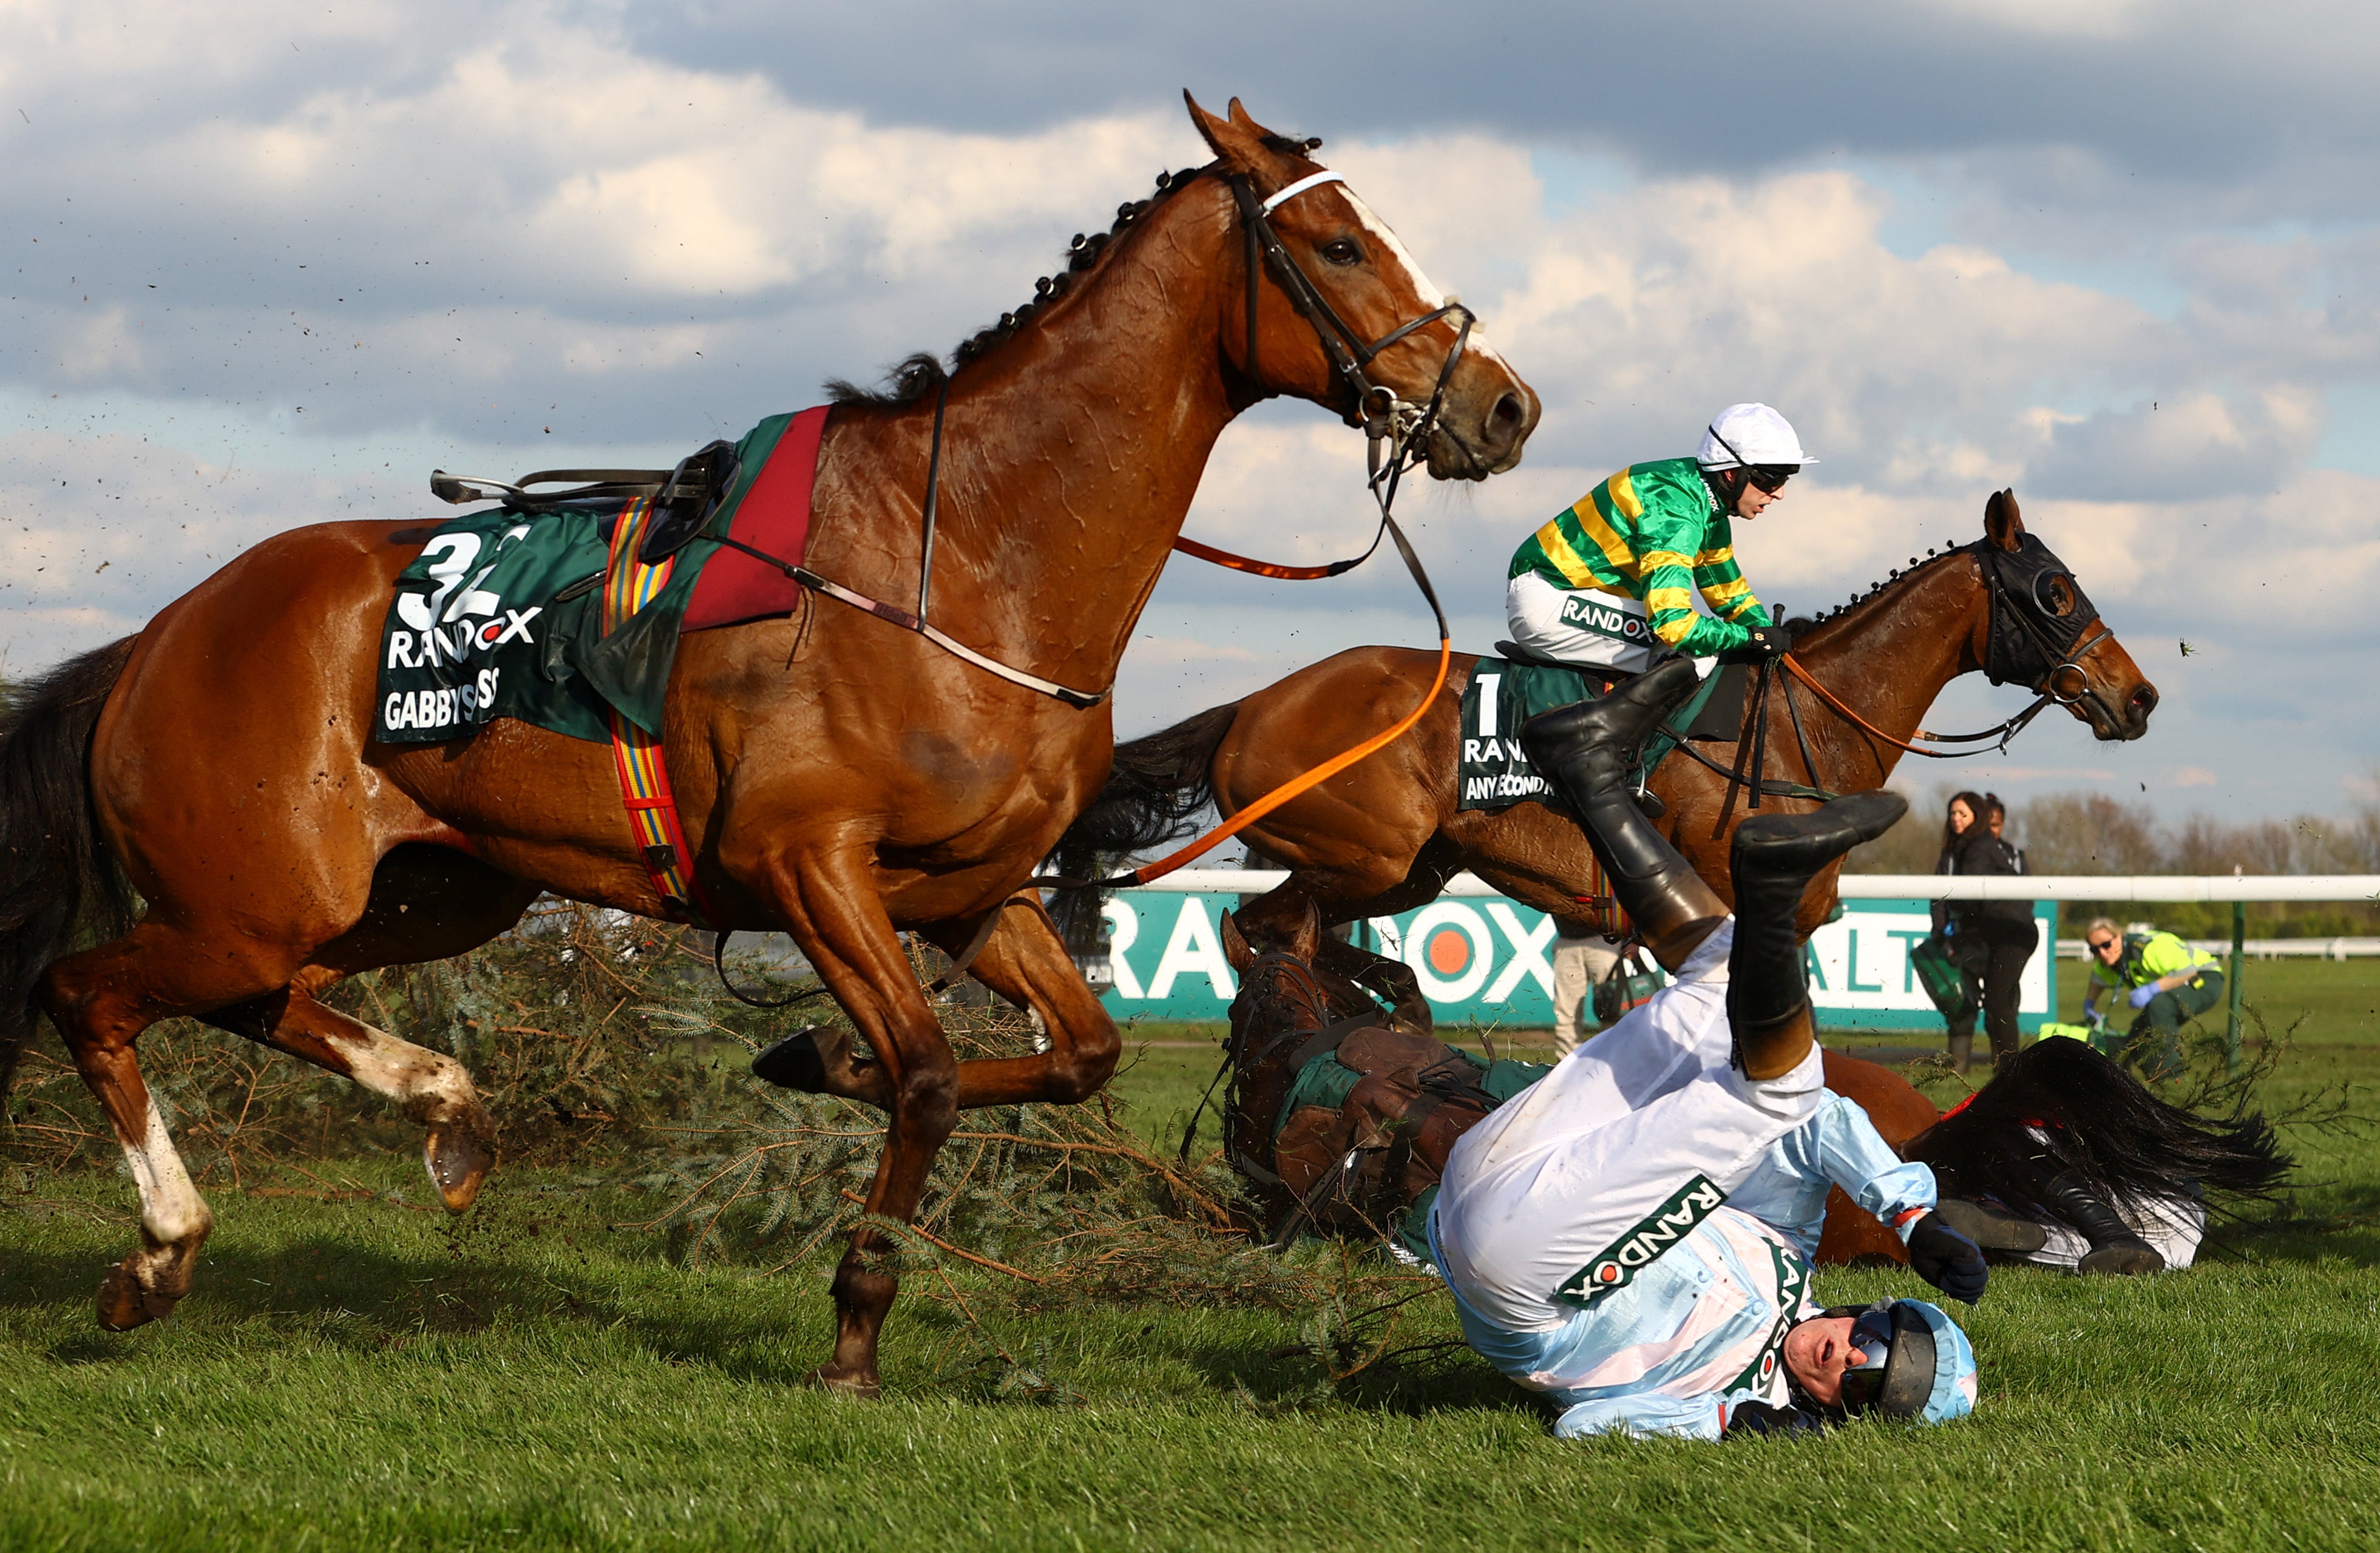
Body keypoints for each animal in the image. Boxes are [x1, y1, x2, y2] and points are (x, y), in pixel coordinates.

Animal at [0, 93, 1542, 1389]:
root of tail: (160, 637)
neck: (962, 558)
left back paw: (445, 1110)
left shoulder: (972, 893)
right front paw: (856, 1314)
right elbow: (924, 1073)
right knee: (90, 992)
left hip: (422, 893)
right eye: (1339, 245)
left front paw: (817, 1067)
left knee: (257, 1000)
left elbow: (1076, 1054)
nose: (1503, 404)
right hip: (260, 893)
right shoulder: (810, 867)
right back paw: (160, 1250)